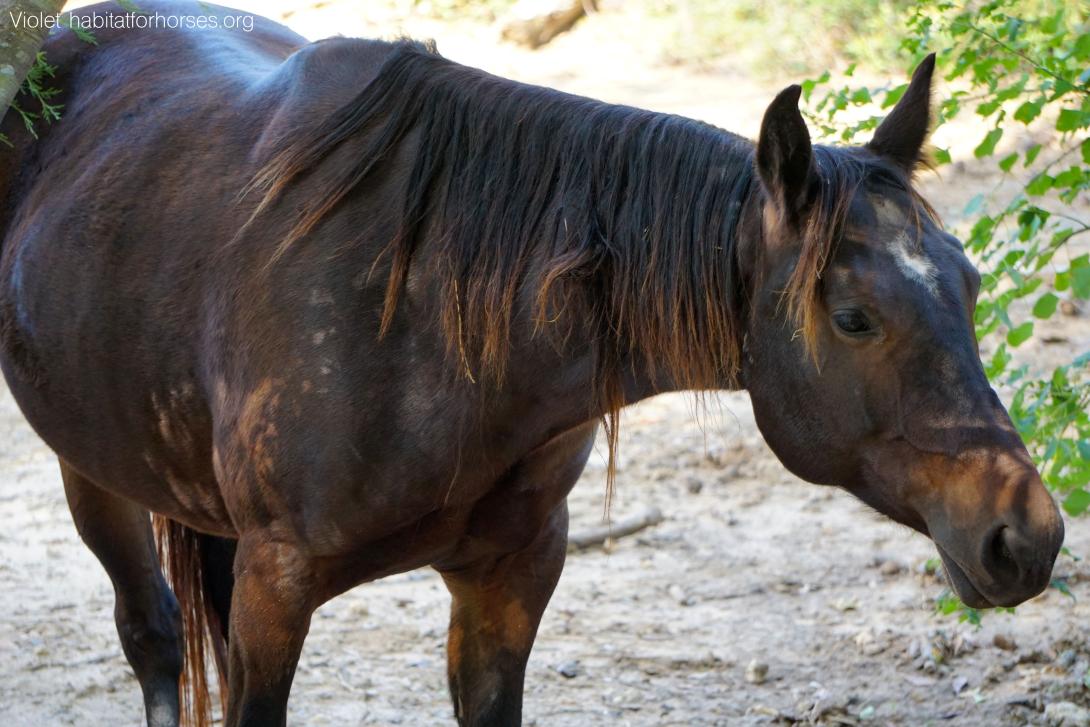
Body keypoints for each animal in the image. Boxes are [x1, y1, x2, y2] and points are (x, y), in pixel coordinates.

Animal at [0, 1, 1063, 727]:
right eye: (852, 317)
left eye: (969, 284)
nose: (1028, 536)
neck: (425, 312)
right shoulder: (275, 585)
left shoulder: (512, 575)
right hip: (92, 475)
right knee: (155, 640)